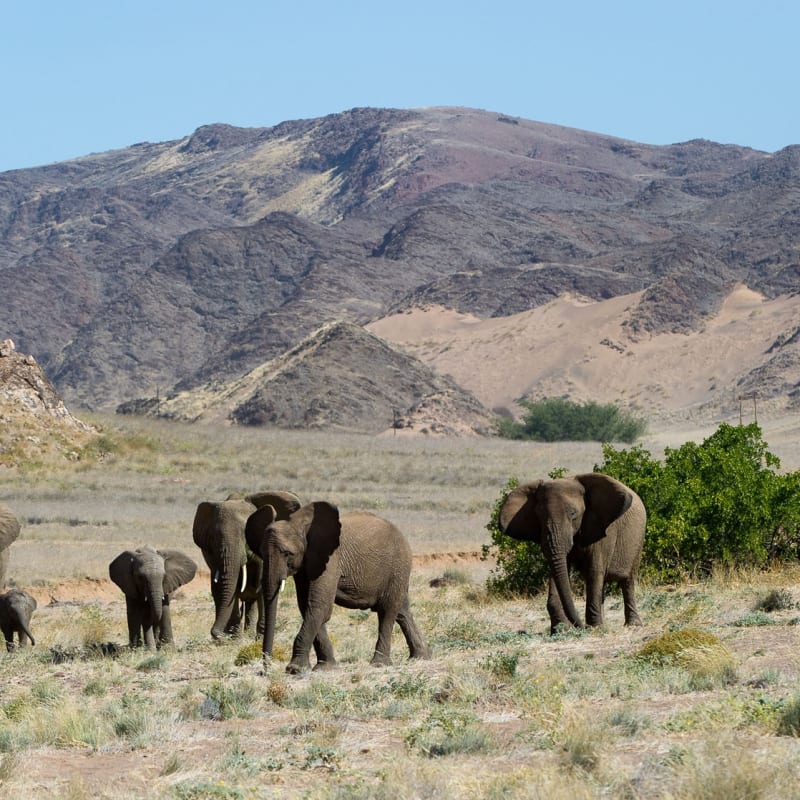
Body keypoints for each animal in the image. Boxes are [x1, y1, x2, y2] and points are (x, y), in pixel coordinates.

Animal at [245, 500, 431, 674]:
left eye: (287, 553)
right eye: (262, 553)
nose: (265, 670)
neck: (299, 523)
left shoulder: (331, 559)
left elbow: (319, 606)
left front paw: (295, 669)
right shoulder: (306, 565)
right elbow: (307, 606)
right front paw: (326, 667)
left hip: (398, 566)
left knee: (387, 611)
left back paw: (379, 664)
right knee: (402, 611)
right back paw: (420, 658)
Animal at [499, 473, 645, 633]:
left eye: (573, 514)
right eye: (539, 516)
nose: (579, 626)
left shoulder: (604, 530)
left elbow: (594, 571)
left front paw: (594, 628)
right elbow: (559, 571)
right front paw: (560, 629)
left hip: (638, 541)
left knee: (627, 581)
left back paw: (633, 625)